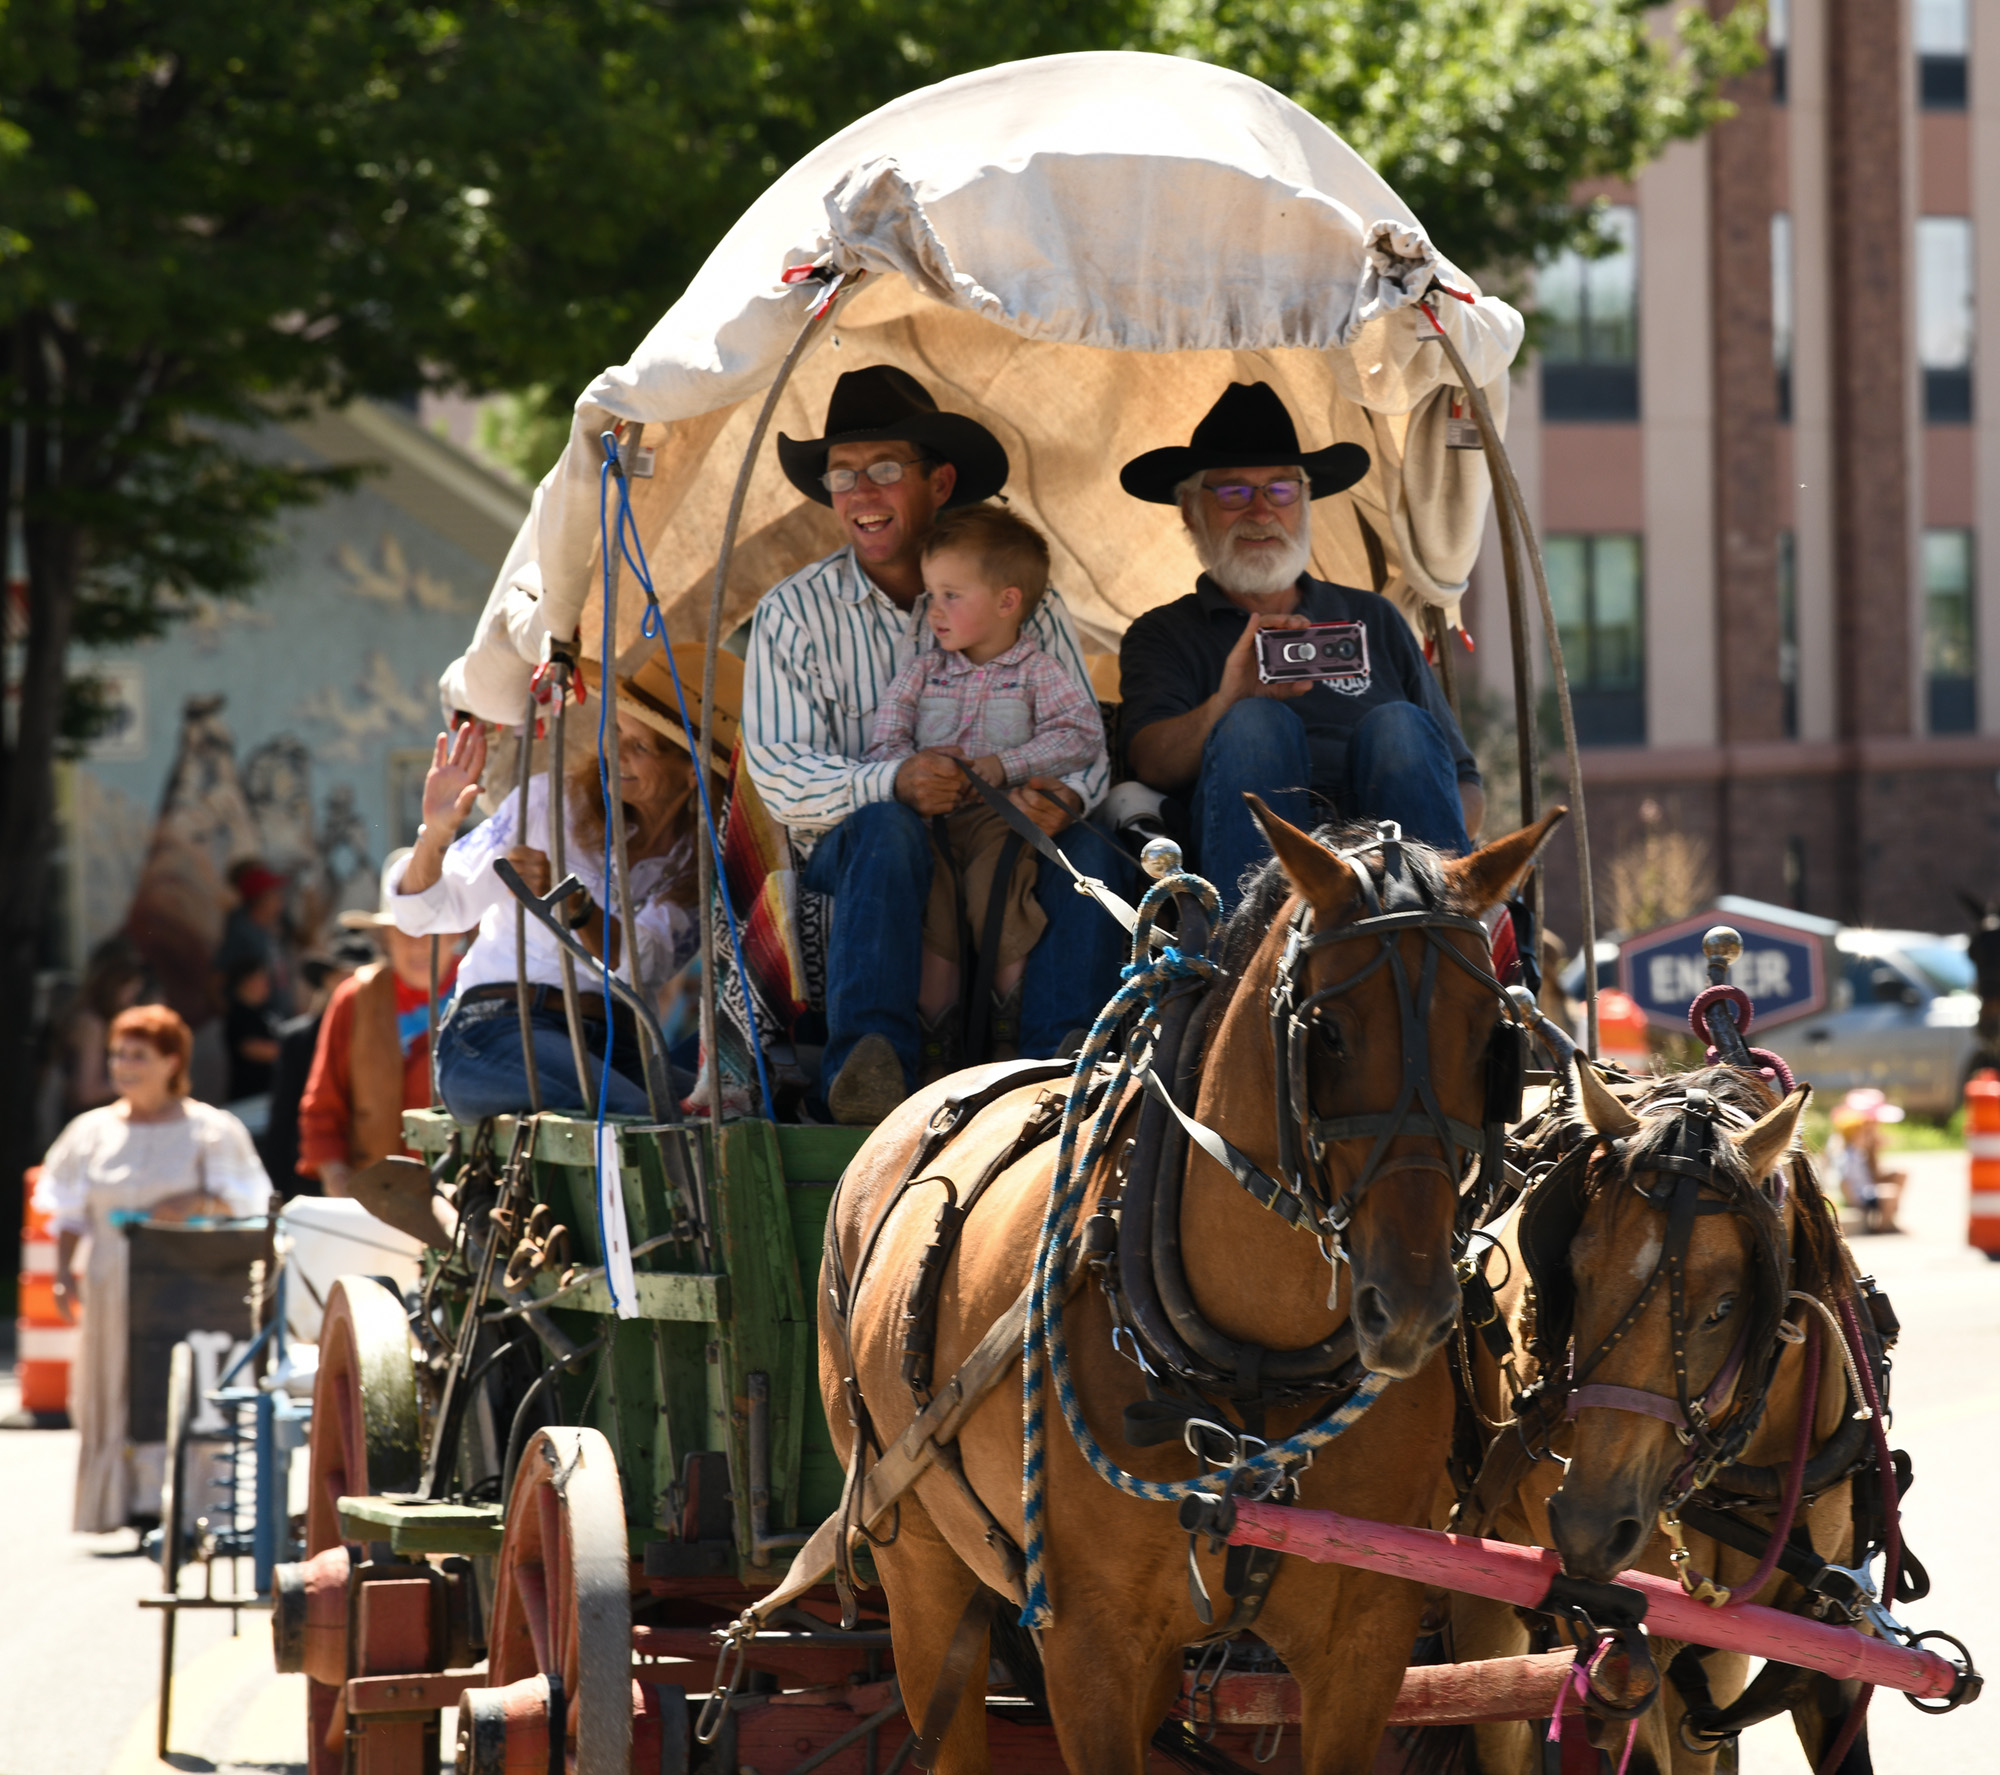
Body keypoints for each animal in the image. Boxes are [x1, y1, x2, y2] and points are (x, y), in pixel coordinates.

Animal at [812, 807, 1560, 1775]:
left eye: (1490, 1038)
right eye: (1328, 1034)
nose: (1413, 1309)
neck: (1253, 1361)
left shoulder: (1365, 1640)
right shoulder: (1089, 1643)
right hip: (919, 1574)